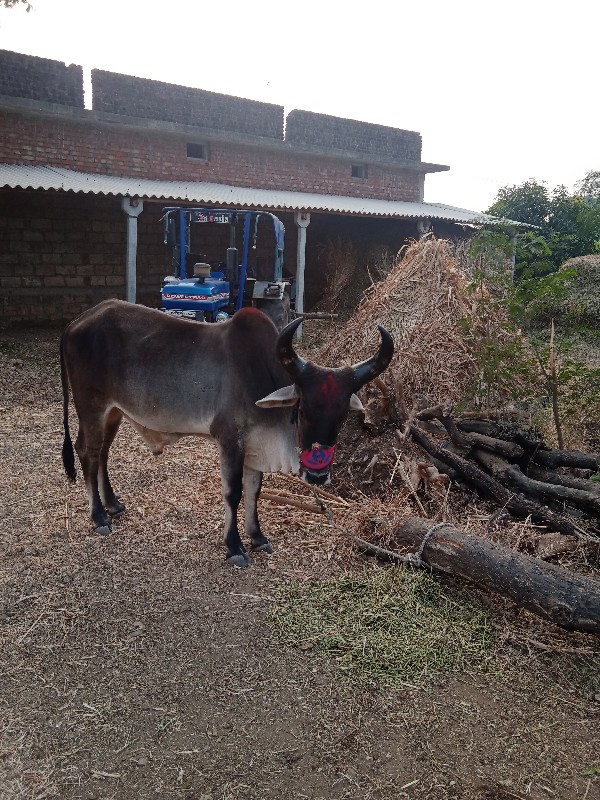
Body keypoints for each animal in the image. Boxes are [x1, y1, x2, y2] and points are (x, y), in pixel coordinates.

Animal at [61, 296, 394, 564]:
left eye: (342, 415)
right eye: (304, 409)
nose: (317, 475)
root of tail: (77, 321)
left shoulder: (255, 446)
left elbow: (254, 491)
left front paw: (257, 537)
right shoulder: (230, 440)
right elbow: (233, 492)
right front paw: (234, 546)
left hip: (114, 412)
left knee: (102, 453)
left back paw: (113, 504)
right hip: (91, 407)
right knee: (87, 453)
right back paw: (98, 516)